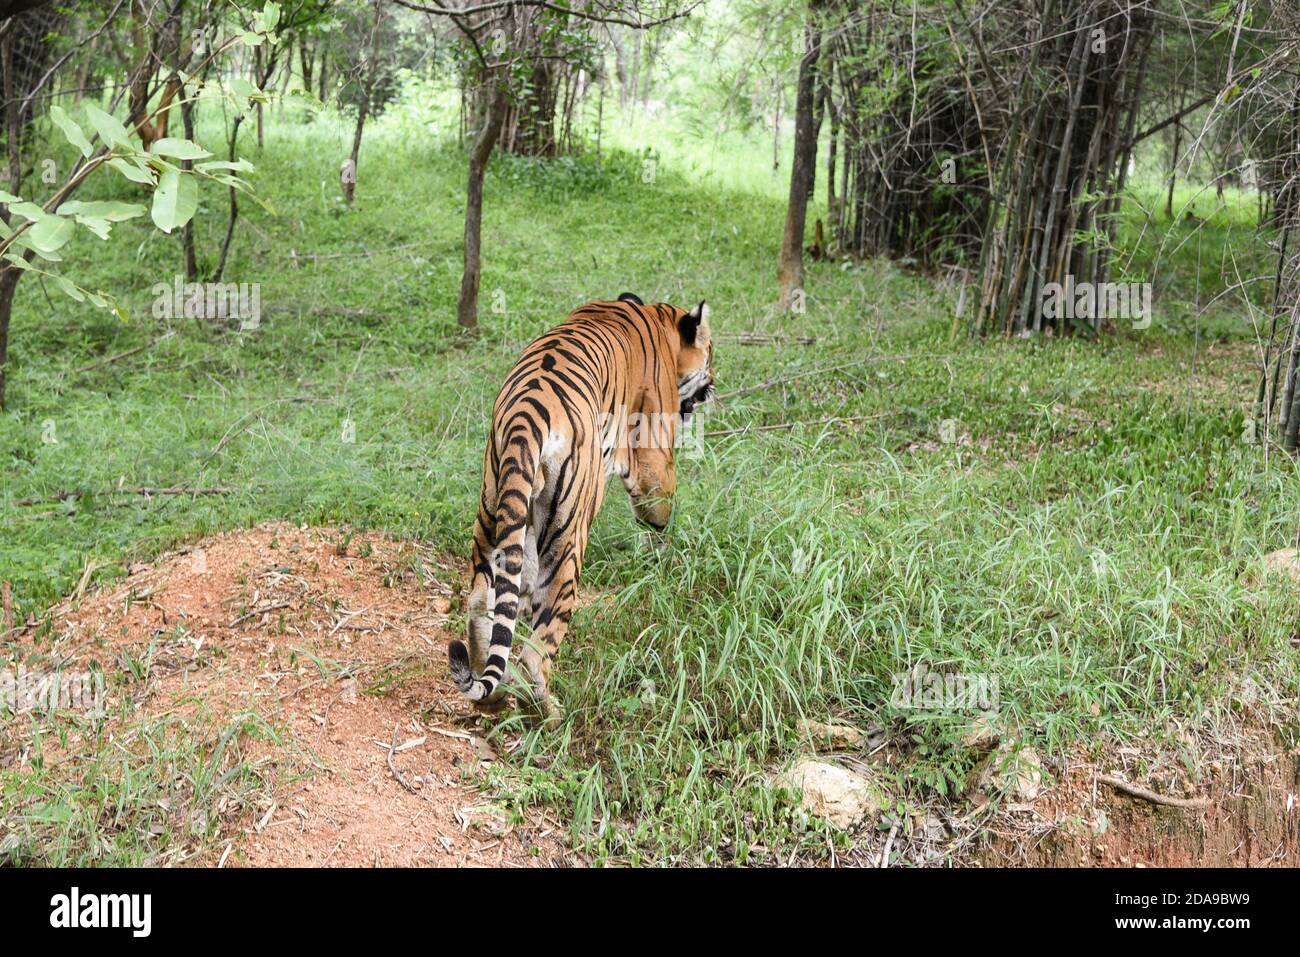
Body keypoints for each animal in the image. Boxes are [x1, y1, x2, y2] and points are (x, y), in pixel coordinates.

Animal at [448, 293, 715, 724]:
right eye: (710, 353)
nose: (713, 385)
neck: (657, 317)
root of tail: (525, 418)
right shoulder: (654, 454)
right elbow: (660, 496)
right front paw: (667, 529)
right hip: (568, 537)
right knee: (535, 651)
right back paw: (549, 714)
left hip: (493, 507)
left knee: (480, 605)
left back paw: (492, 697)